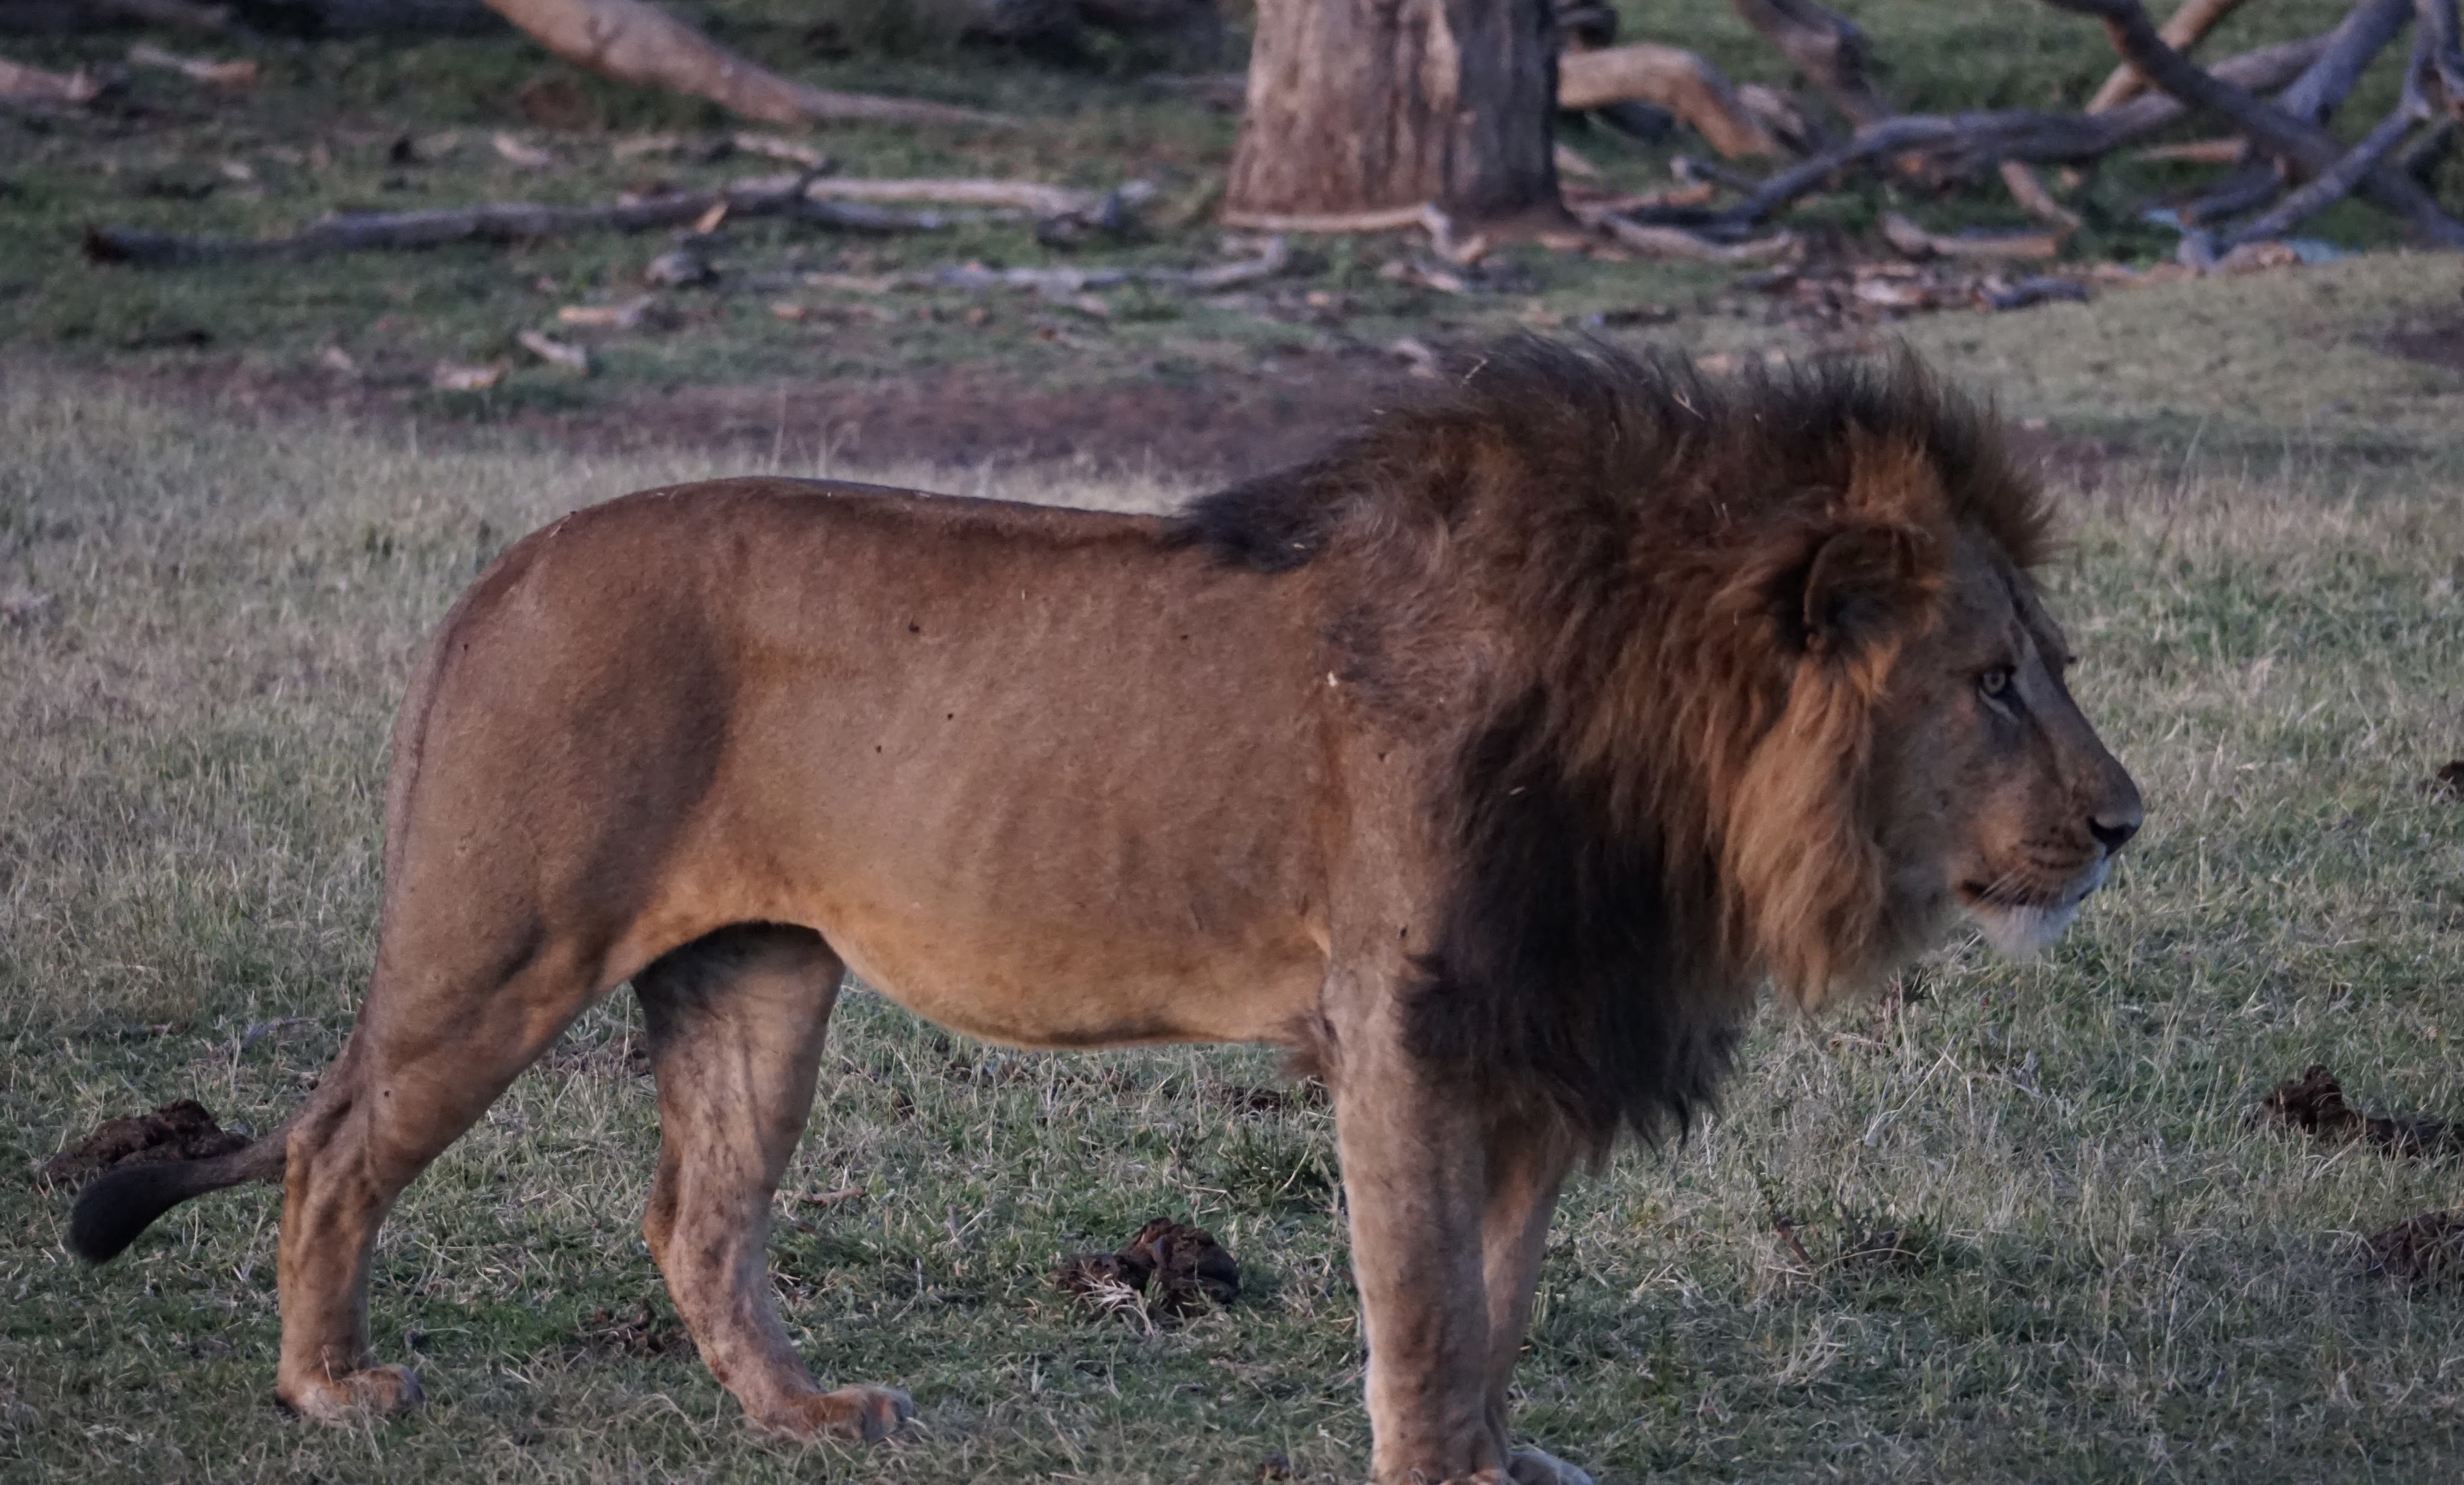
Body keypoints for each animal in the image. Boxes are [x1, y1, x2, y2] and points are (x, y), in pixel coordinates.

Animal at [70, 341, 2140, 1485]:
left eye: (2049, 663)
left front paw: (1503, 1456)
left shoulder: (1537, 1035)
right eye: (1993, 683)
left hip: (759, 975)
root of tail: (494, 577)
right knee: (337, 1144)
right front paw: (1436, 1469)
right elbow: (1423, 1300)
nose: (2126, 822)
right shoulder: (1404, 1024)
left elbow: (1503, 1293)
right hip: (502, 938)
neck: (1678, 775)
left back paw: (809, 1418)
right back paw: (330, 1386)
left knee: (695, 1217)